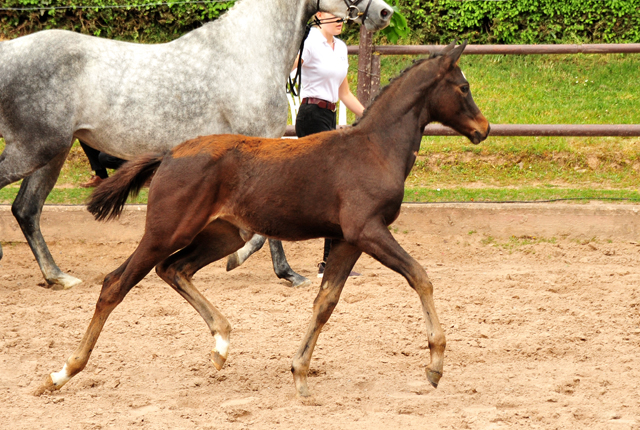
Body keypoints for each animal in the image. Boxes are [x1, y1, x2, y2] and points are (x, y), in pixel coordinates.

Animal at [0, 0, 392, 288]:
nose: (385, 12)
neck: (250, 52)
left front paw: (281, 270)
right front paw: (258, 265)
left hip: (52, 153)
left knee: (26, 209)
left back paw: (58, 276)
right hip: (35, 149)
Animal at [36, 42, 490, 398]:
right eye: (463, 87)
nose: (483, 127)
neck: (374, 148)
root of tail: (168, 154)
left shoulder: (348, 239)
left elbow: (325, 302)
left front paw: (300, 373)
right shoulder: (369, 231)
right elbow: (420, 276)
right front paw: (435, 364)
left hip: (224, 235)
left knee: (175, 269)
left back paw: (221, 344)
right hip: (165, 231)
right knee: (117, 283)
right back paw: (62, 373)